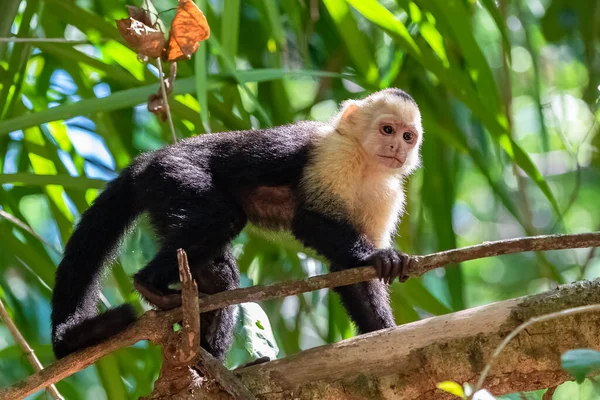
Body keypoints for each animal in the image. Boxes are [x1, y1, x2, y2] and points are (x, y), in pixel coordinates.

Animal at [51, 88, 424, 362]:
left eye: (408, 136)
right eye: (387, 129)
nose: (396, 147)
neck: (366, 163)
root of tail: (152, 158)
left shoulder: (387, 195)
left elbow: (347, 271)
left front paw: (382, 331)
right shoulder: (335, 155)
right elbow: (308, 220)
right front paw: (376, 256)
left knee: (220, 277)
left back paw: (208, 356)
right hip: (177, 175)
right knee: (223, 219)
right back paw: (150, 286)